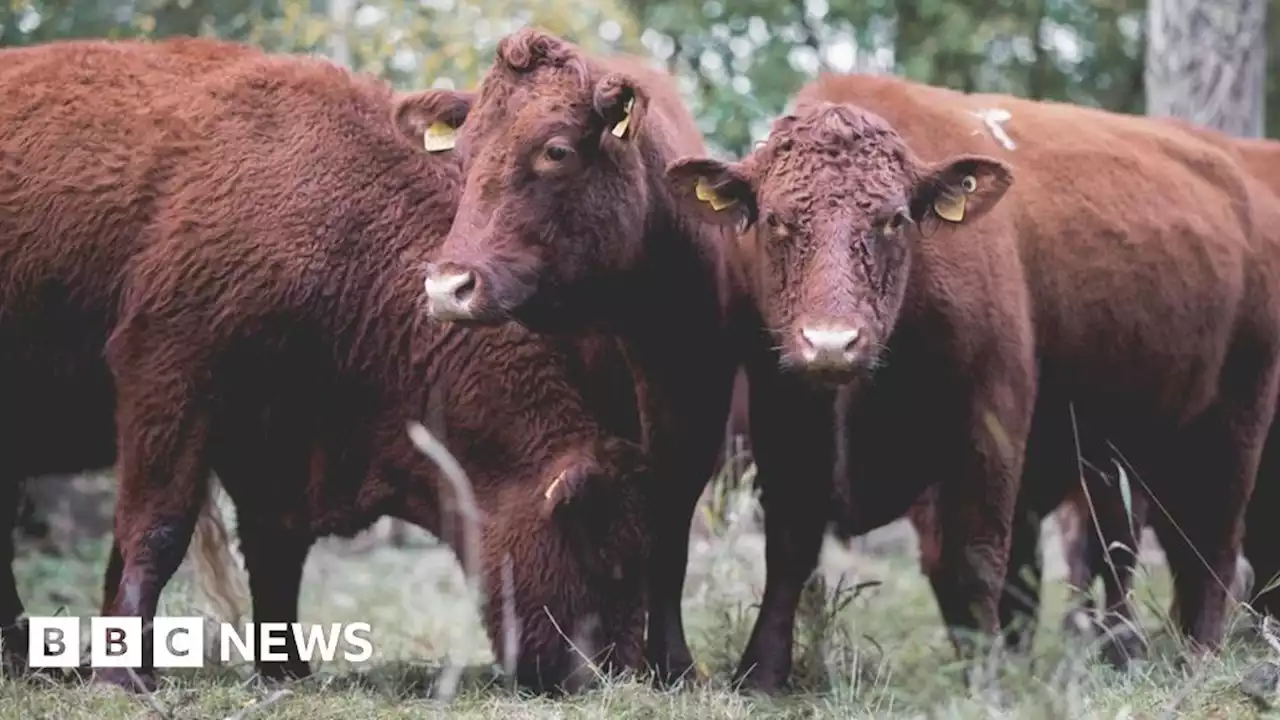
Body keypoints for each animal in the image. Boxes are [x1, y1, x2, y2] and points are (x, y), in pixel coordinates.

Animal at [414, 28, 747, 681]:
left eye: (557, 150)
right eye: (460, 157)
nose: (448, 288)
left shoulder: (697, 413)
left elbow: (671, 531)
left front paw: (672, 661)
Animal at [665, 71, 1280, 681]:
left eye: (893, 219)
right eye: (776, 220)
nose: (831, 342)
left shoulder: (989, 429)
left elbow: (976, 561)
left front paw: (987, 680)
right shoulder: (784, 422)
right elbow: (791, 550)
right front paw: (761, 674)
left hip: (1233, 426)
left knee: (1214, 545)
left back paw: (1196, 655)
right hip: (1128, 454)